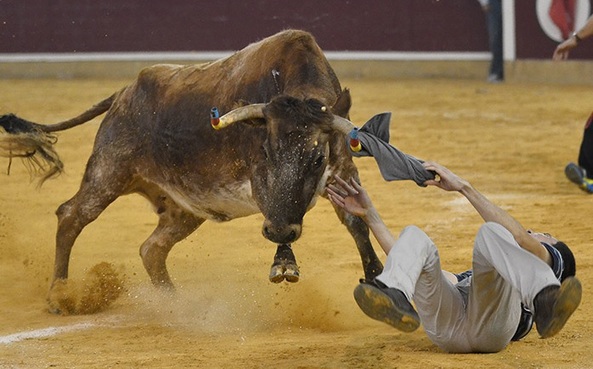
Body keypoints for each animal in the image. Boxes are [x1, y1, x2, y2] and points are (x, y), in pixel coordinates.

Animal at [0, 29, 384, 308]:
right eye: (266, 151)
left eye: (317, 159)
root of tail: (123, 93)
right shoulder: (260, 180)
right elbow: (276, 212)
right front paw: (283, 263)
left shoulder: (343, 171)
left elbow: (355, 221)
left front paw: (376, 275)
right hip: (108, 170)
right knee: (71, 215)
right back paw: (58, 296)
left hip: (185, 207)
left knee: (152, 248)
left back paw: (173, 303)